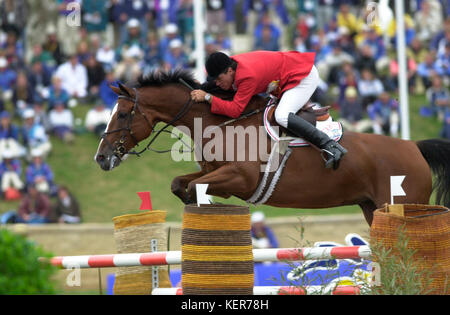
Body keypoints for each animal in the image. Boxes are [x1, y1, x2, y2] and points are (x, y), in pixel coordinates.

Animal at [94, 70, 450, 226]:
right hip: (371, 207)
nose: (101, 157)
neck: (222, 122)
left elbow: (194, 187)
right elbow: (180, 183)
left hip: (406, 203)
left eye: (122, 114)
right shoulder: (216, 173)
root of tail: (414, 147)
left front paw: (206, 206)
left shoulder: (240, 178)